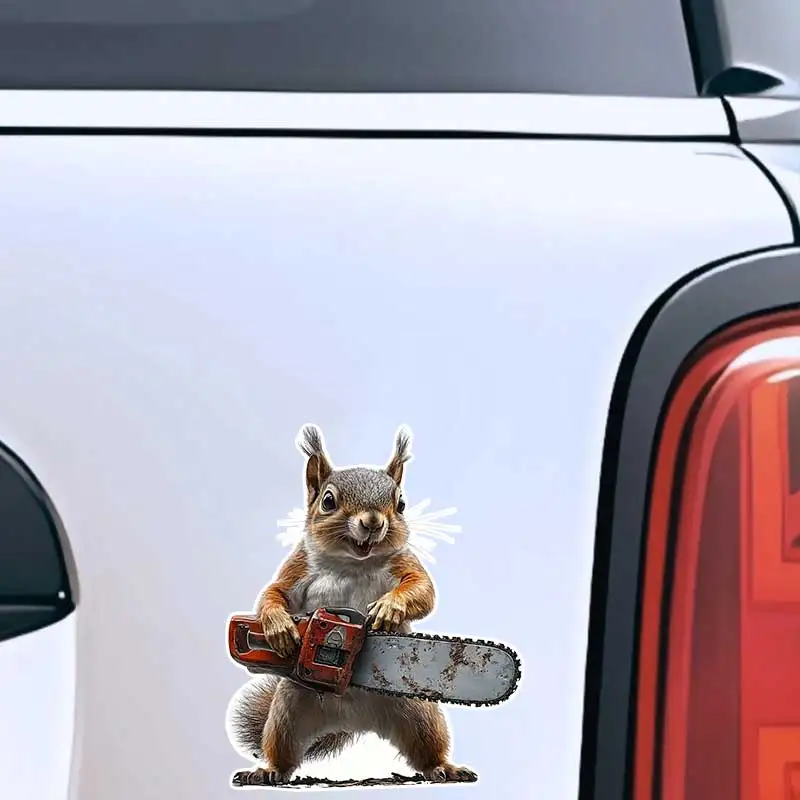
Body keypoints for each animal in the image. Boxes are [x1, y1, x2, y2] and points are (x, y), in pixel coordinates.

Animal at [226, 424, 476, 786]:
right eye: (328, 501)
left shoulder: (404, 562)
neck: (352, 562)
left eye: (401, 503)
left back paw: (445, 768)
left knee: (429, 745)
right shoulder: (298, 566)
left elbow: (423, 589)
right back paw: (268, 772)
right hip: (288, 713)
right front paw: (279, 627)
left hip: (418, 711)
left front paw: (389, 609)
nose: (372, 522)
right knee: (282, 749)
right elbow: (274, 595)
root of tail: (353, 720)